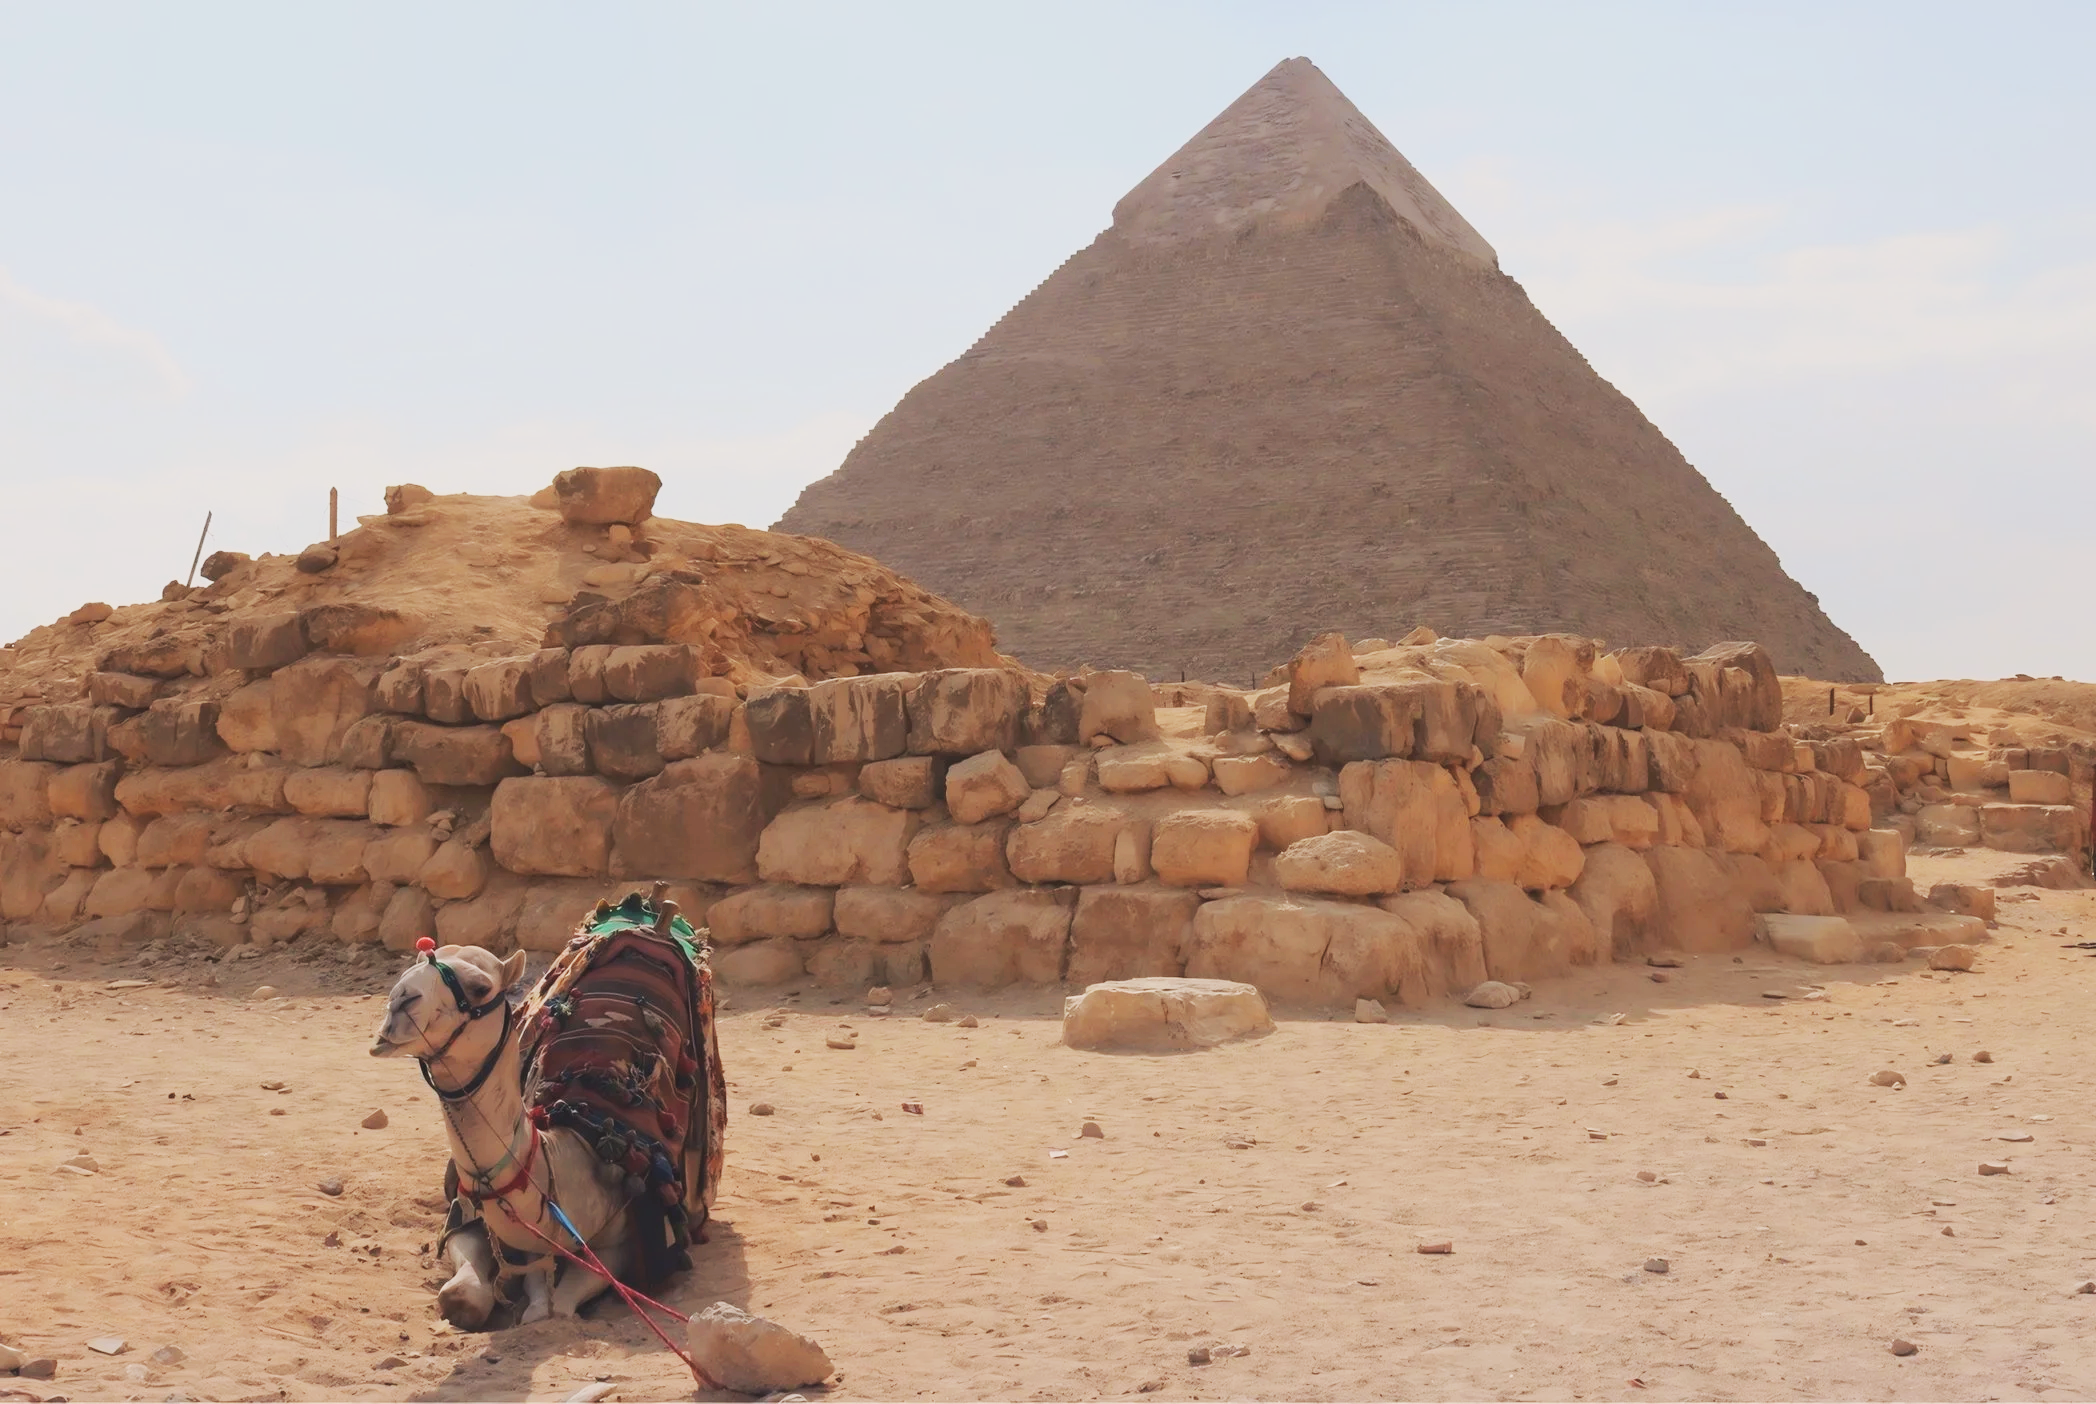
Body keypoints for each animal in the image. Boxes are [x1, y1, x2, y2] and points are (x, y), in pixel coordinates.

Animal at [370, 942, 635, 1326]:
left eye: (480, 987)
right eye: (407, 973)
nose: (399, 1002)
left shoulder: (619, 1245)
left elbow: (558, 1307)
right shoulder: (466, 1217)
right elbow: (461, 1294)